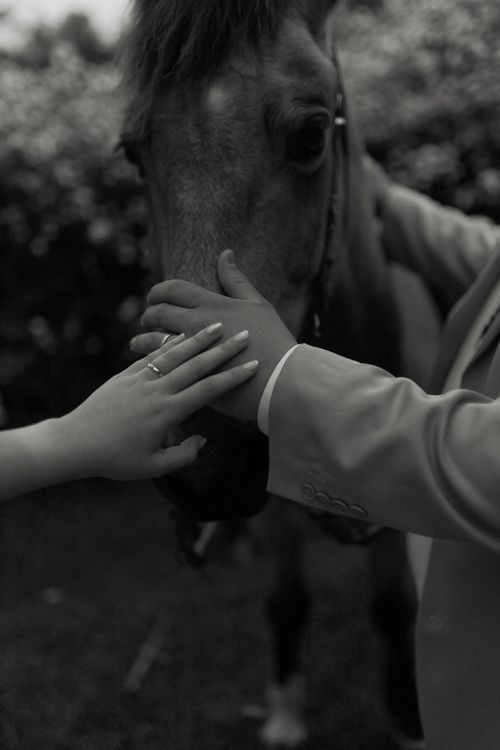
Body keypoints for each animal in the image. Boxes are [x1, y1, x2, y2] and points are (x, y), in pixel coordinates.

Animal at [120, 1, 423, 746]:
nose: (206, 464)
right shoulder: (276, 507)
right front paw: (284, 716)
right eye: (131, 151)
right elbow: (287, 603)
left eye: (312, 134)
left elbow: (394, 607)